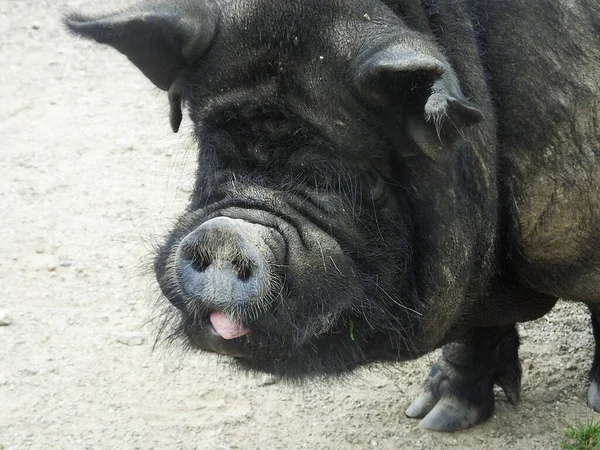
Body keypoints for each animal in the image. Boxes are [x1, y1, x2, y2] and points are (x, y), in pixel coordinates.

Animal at [65, 0, 600, 430]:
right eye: (211, 148)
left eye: (355, 179)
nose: (226, 232)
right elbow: (473, 330)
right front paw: (434, 419)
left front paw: (595, 403)